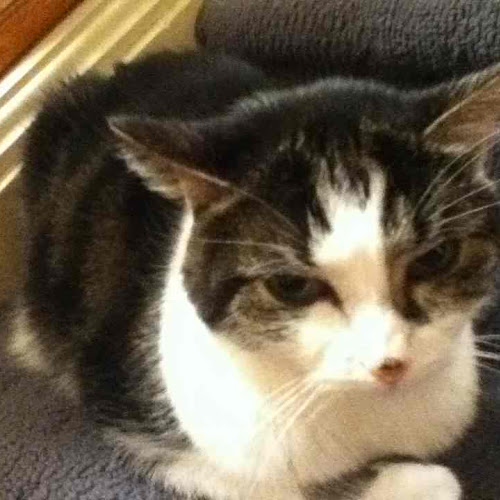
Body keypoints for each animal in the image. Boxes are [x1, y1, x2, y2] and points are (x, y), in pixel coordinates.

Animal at [8, 49, 500, 499]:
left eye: (436, 257)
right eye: (292, 286)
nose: (390, 363)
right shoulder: (137, 412)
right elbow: (274, 484)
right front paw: (416, 482)